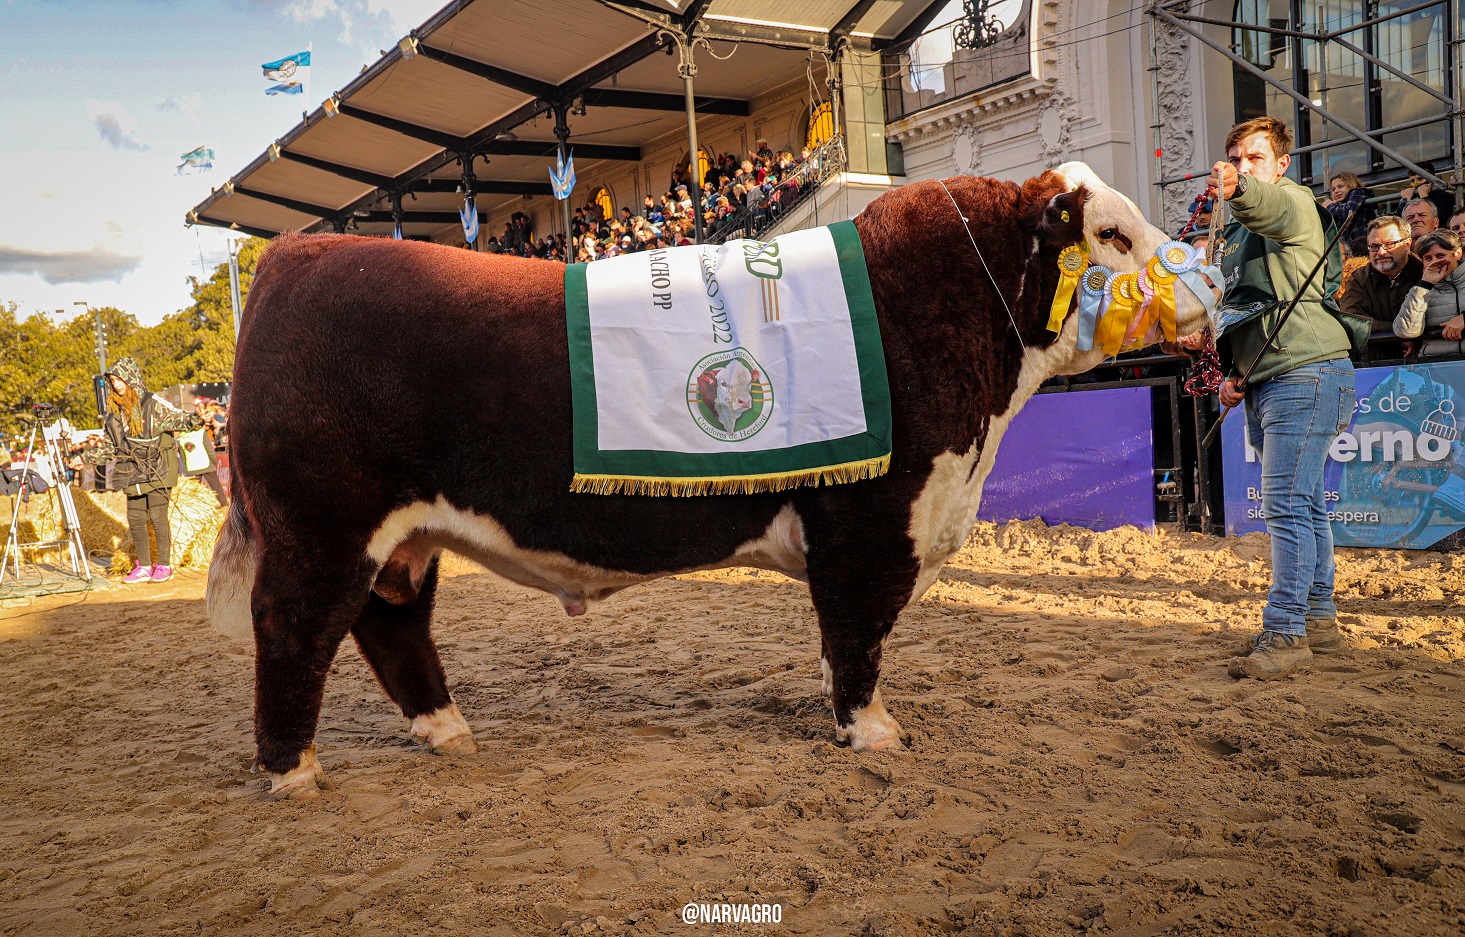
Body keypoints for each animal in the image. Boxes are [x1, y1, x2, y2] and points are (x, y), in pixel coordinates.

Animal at [209, 164, 1213, 796]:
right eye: (1111, 233)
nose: (1207, 289)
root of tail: (293, 256)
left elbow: (840, 640)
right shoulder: (872, 522)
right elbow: (858, 635)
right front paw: (871, 732)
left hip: (401, 541)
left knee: (391, 627)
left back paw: (446, 730)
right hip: (321, 527)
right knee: (293, 629)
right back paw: (292, 772)